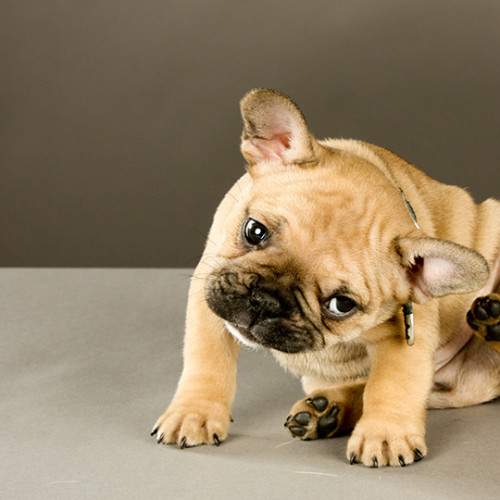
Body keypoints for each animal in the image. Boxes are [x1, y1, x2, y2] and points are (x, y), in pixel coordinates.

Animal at [153, 88, 500, 466]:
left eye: (341, 305)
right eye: (254, 230)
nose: (265, 300)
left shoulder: (408, 330)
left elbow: (392, 383)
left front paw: (385, 434)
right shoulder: (212, 282)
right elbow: (207, 359)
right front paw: (194, 412)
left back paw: (493, 317)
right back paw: (326, 412)